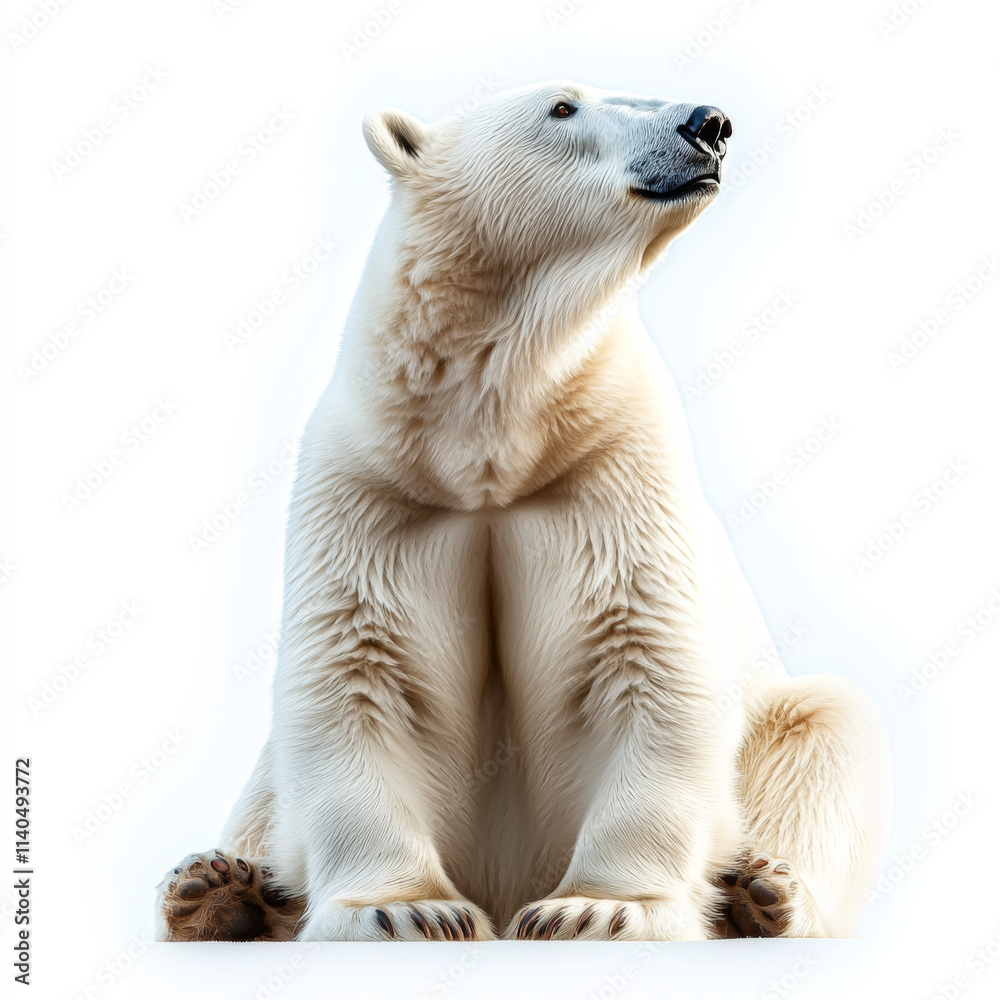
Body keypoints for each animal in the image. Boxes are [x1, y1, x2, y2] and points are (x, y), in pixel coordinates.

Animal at [155, 80, 888, 942]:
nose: (708, 123)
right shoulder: (374, 486)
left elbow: (652, 661)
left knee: (828, 725)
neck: (492, 438)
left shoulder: (613, 465)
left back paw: (763, 894)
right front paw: (405, 909)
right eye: (563, 106)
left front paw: (601, 908)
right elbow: (355, 671)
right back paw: (217, 888)